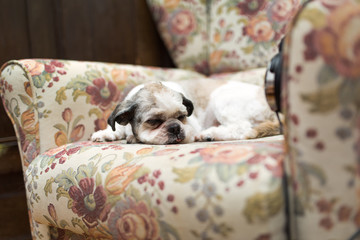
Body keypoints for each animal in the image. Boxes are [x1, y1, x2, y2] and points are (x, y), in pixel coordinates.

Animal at [90, 80, 282, 144]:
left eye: (182, 117)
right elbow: (118, 128)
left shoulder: (192, 127)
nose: (175, 127)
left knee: (242, 128)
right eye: (153, 121)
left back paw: (210, 134)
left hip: (222, 100)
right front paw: (105, 134)